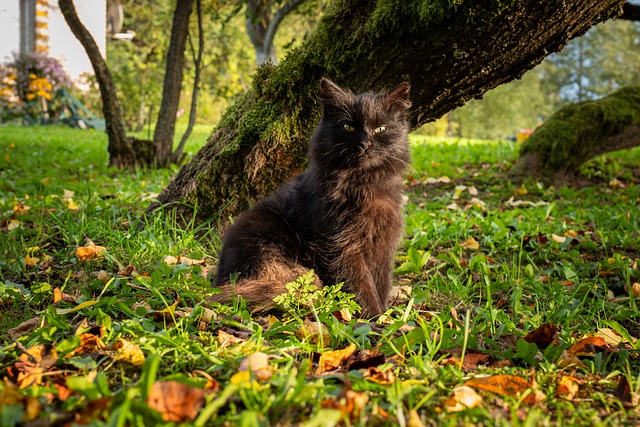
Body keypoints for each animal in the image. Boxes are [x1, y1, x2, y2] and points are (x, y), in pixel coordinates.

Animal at [210, 77, 410, 318]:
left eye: (381, 129)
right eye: (349, 127)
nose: (364, 144)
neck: (363, 184)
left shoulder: (383, 243)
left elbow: (381, 282)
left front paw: (385, 313)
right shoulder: (341, 245)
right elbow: (359, 282)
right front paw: (375, 316)